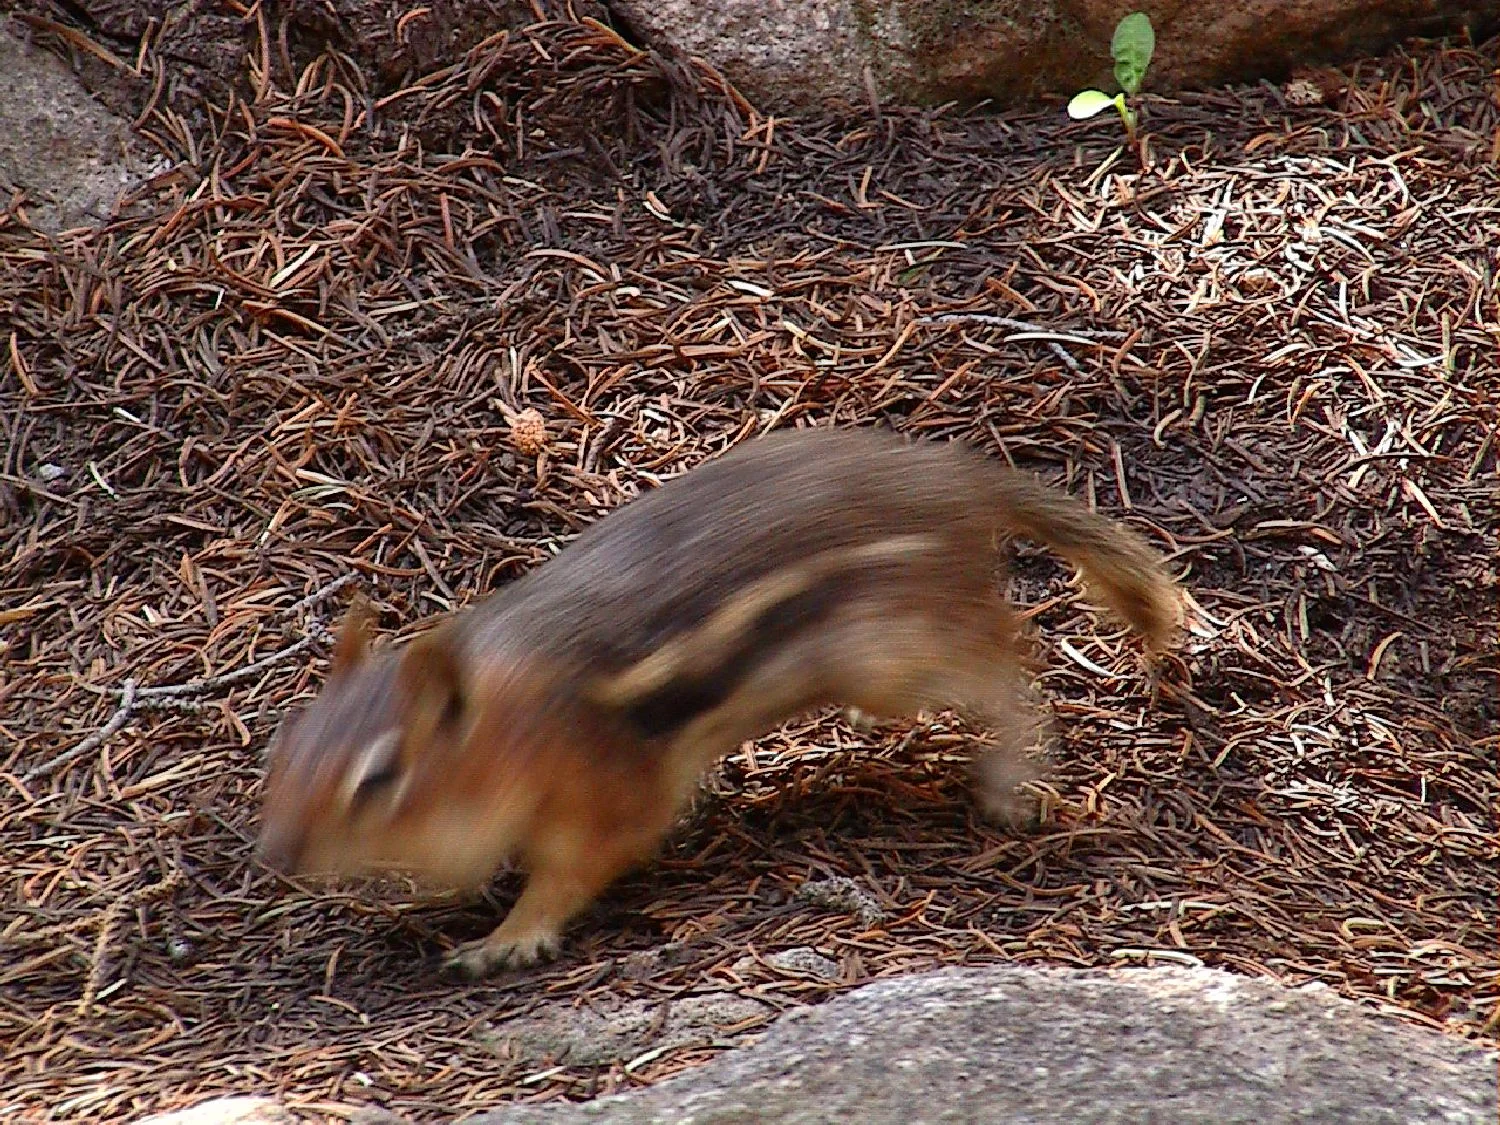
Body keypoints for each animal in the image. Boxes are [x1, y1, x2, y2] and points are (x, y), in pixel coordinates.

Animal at [256, 427, 1183, 978]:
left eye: (379, 779)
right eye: (285, 749)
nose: (276, 854)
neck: (510, 728)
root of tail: (952, 478)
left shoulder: (606, 795)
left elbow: (576, 869)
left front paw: (506, 936)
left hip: (899, 647)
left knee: (1011, 665)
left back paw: (1011, 778)